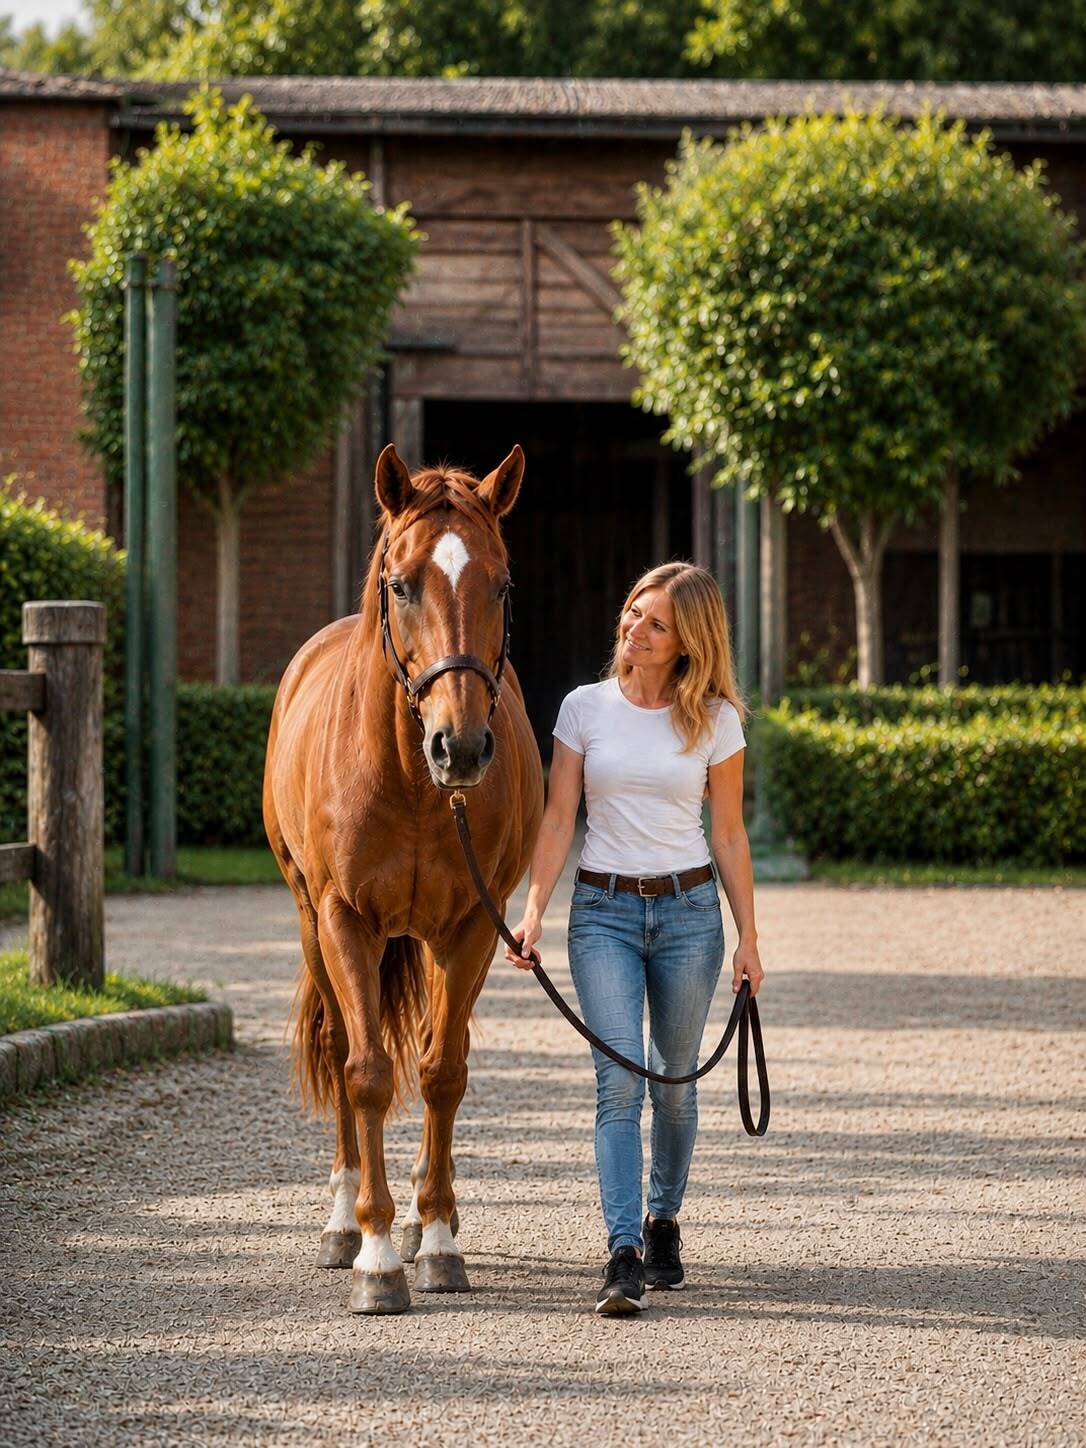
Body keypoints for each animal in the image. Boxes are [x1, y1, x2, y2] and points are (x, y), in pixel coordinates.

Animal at [263, 442, 544, 1315]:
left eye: (503, 583)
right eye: (402, 583)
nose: (463, 746)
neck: (416, 785)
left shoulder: (472, 928)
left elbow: (442, 1072)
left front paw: (438, 1238)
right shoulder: (344, 919)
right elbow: (364, 1073)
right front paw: (376, 1254)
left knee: (431, 1051)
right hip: (310, 923)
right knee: (344, 1048)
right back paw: (343, 1217)